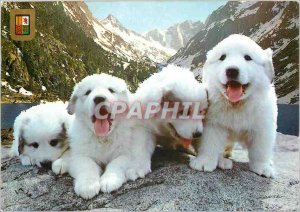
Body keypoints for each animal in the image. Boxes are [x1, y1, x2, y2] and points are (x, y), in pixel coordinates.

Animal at [189, 34, 278, 177]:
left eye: (247, 57)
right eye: (222, 57)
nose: (232, 70)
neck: (236, 104)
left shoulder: (263, 125)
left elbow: (260, 149)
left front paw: (263, 167)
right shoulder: (213, 123)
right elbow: (210, 143)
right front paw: (204, 162)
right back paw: (222, 161)